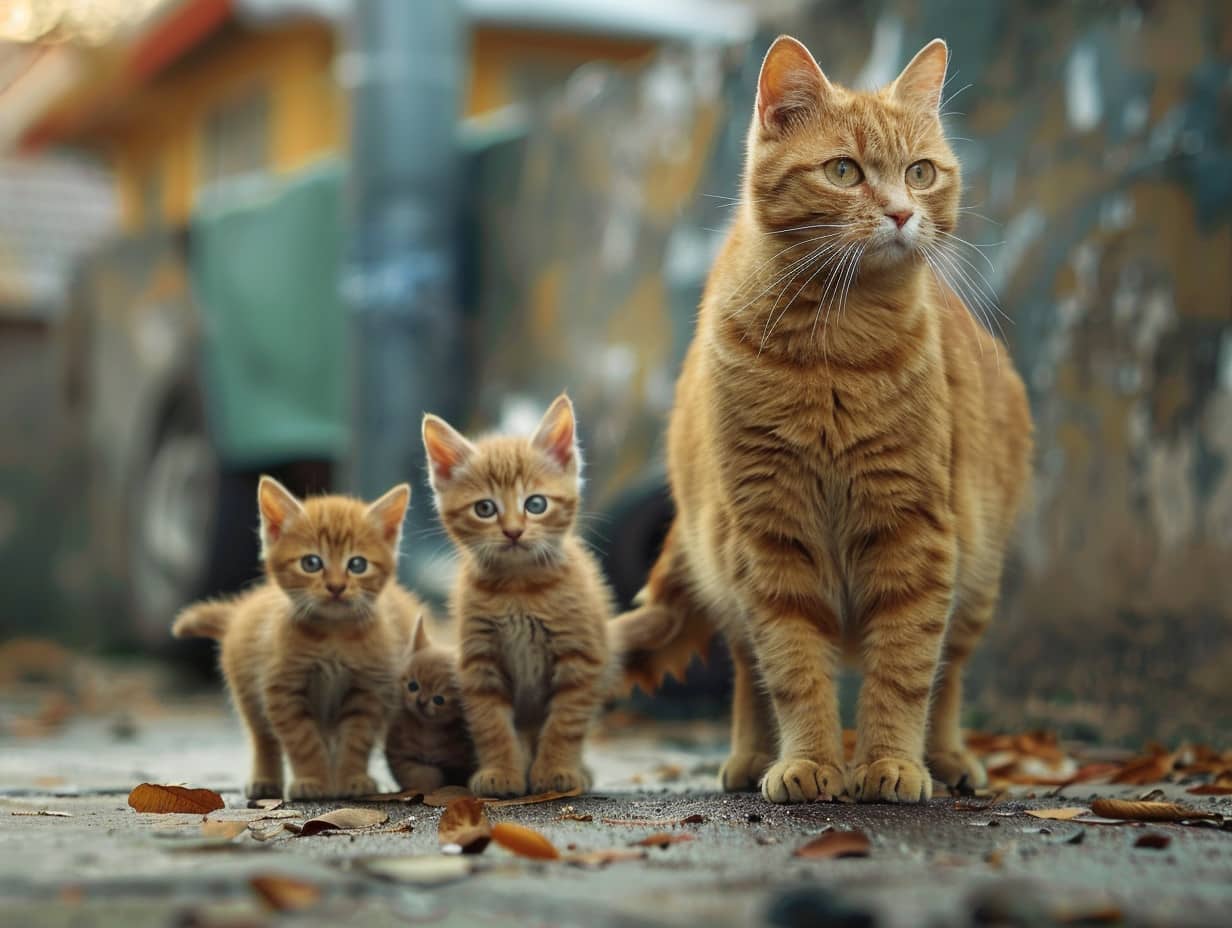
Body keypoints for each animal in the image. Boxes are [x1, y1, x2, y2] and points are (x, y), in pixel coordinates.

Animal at [172, 478, 433, 798]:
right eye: (311, 563)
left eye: (357, 565)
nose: (336, 586)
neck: (333, 636)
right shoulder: (282, 690)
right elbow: (302, 741)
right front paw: (312, 781)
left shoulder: (369, 689)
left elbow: (355, 739)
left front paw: (351, 778)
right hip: (247, 688)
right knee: (262, 736)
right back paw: (265, 781)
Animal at [384, 616, 475, 788]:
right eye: (413, 686)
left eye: (439, 699)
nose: (421, 701)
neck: (427, 732)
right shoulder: (398, 754)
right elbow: (420, 776)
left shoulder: (460, 762)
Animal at [423, 391, 616, 798]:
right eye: (485, 508)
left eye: (536, 504)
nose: (513, 531)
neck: (518, 587)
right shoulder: (479, 663)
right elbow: (490, 724)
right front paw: (501, 772)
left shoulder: (580, 657)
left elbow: (566, 721)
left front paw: (556, 770)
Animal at [620, 38, 1034, 803]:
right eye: (844, 171)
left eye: (920, 172)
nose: (901, 213)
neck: (833, 350)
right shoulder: (773, 538)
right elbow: (792, 668)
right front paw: (809, 760)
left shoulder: (915, 531)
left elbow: (905, 667)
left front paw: (892, 763)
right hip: (727, 563)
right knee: (748, 669)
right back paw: (753, 757)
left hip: (979, 576)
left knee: (950, 676)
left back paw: (947, 758)